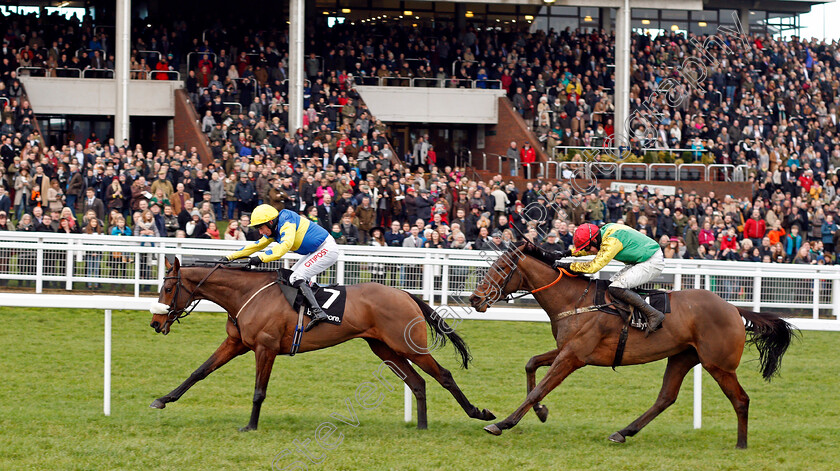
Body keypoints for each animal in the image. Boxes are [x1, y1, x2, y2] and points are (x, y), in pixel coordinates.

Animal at [148, 258, 496, 432]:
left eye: (168, 288)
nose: (155, 323)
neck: (246, 295)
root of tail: (404, 293)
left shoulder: (265, 348)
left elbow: (259, 391)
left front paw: (250, 426)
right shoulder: (236, 342)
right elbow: (199, 372)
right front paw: (162, 400)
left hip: (407, 347)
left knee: (443, 375)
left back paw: (479, 413)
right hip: (384, 348)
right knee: (418, 382)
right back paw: (421, 427)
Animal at [470, 243, 796, 450]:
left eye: (502, 268)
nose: (475, 298)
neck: (574, 301)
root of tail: (733, 308)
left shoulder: (573, 357)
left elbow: (540, 387)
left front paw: (503, 423)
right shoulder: (566, 351)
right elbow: (532, 363)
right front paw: (540, 412)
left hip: (718, 364)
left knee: (740, 400)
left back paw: (741, 445)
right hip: (682, 356)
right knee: (665, 398)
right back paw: (623, 432)